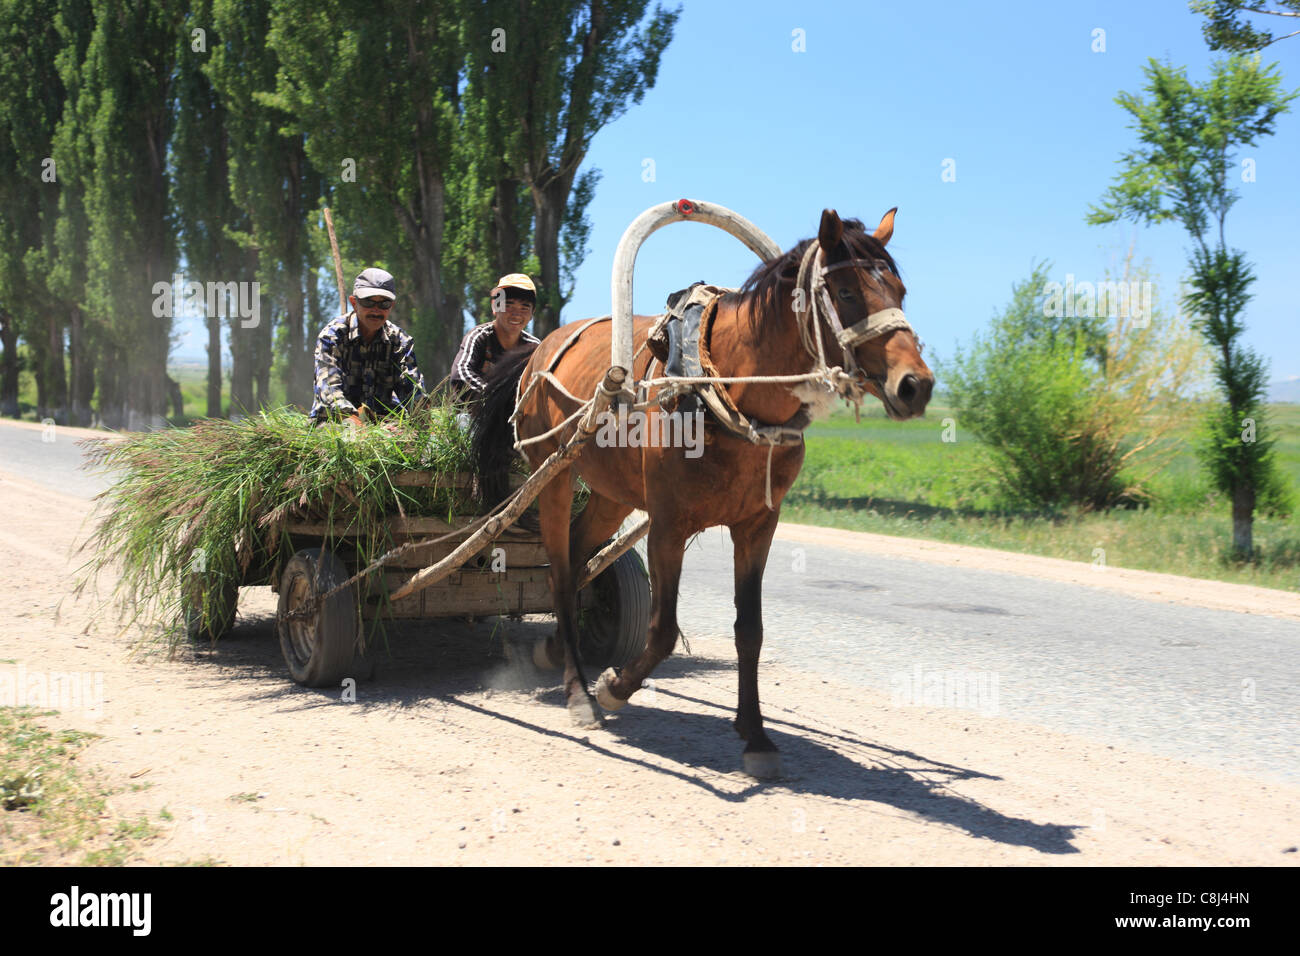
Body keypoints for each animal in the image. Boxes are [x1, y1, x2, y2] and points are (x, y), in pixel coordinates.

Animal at [472, 207, 933, 778]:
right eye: (846, 292)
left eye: (899, 290)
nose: (916, 385)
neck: (727, 387)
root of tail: (540, 353)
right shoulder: (669, 526)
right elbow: (664, 629)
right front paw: (614, 686)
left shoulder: (757, 526)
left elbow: (750, 629)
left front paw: (755, 734)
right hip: (553, 475)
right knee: (559, 570)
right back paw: (579, 691)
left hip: (612, 495)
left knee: (579, 557)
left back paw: (558, 650)